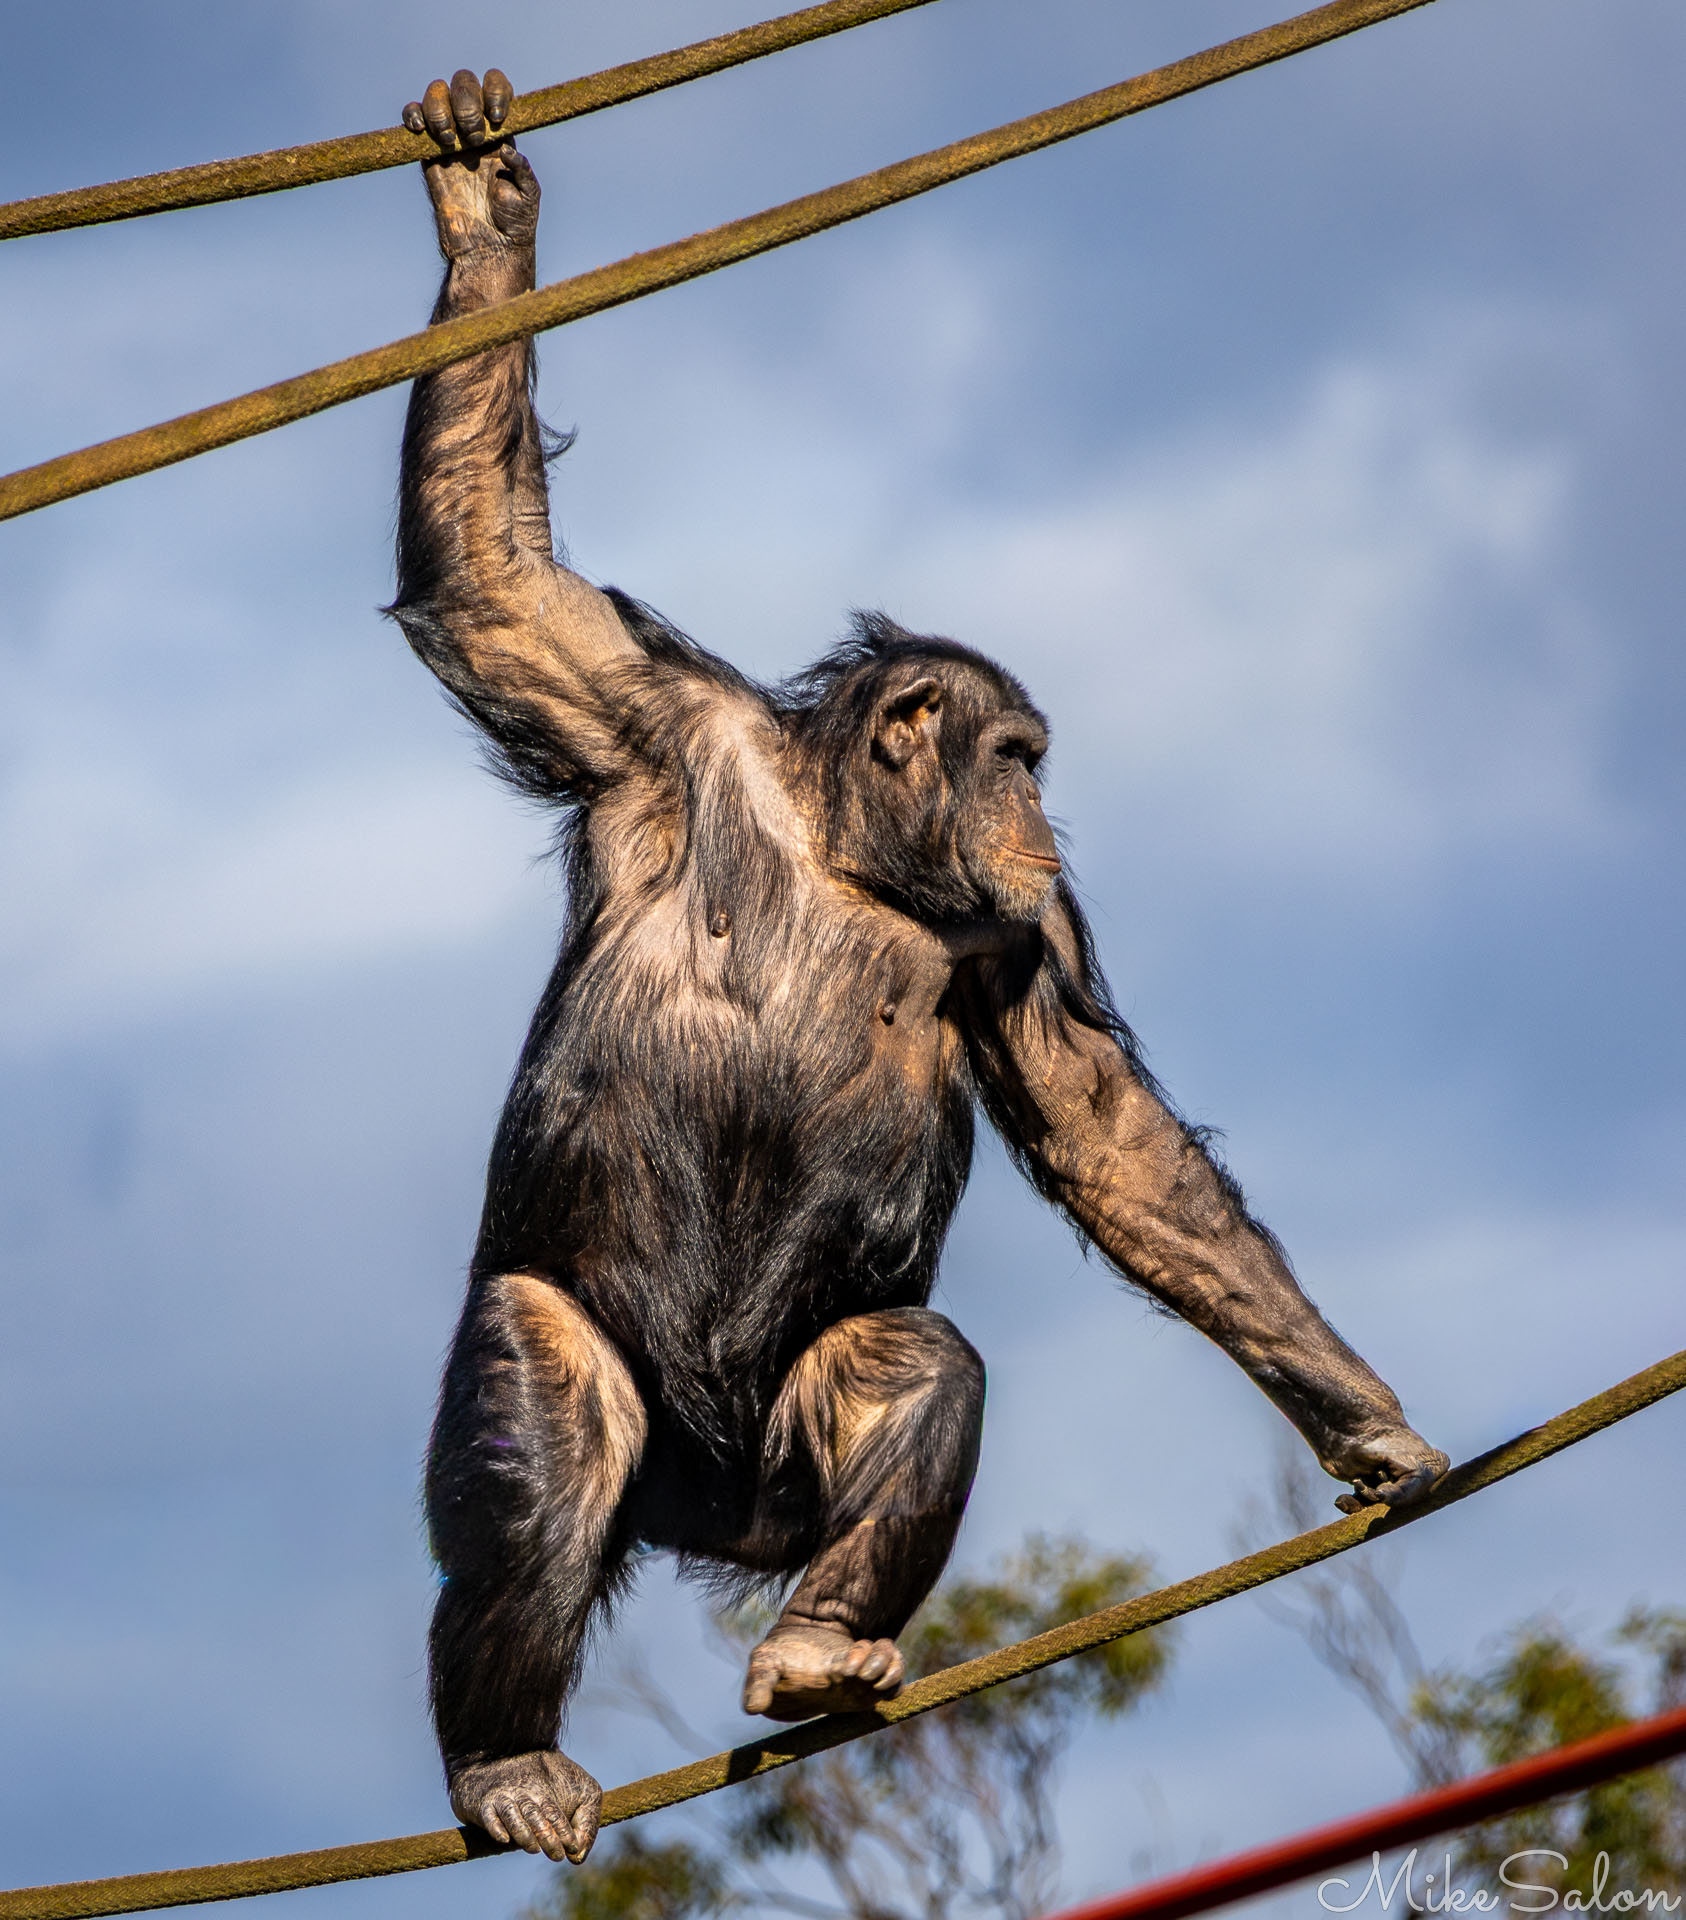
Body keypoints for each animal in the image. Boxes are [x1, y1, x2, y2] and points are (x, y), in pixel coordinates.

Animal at [389, 69, 1450, 1867]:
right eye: (1012, 750)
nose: (1035, 797)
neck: (846, 846)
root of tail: (695, 1527)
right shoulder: (626, 709)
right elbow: (489, 578)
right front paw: (491, 222)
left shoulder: (1028, 930)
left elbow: (1110, 1138)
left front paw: (1360, 1412)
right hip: (598, 1394)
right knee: (549, 1422)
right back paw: (506, 1761)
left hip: (778, 1484)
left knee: (911, 1368)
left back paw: (820, 1644)